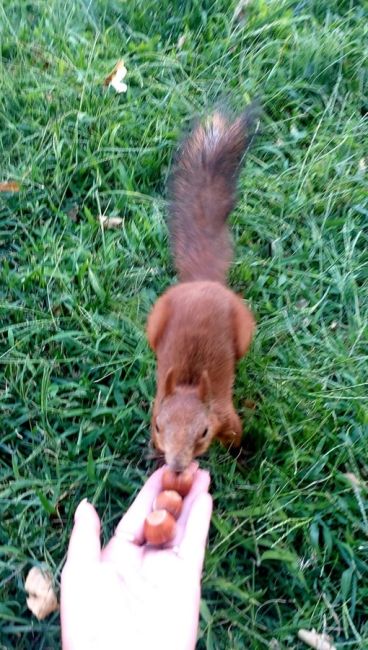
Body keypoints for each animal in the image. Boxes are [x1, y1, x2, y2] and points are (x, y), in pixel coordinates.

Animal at [147, 106, 258, 470]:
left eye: (204, 431)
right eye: (158, 426)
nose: (176, 465)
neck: (188, 381)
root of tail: (201, 283)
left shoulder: (225, 414)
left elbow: (236, 434)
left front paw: (243, 458)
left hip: (243, 326)